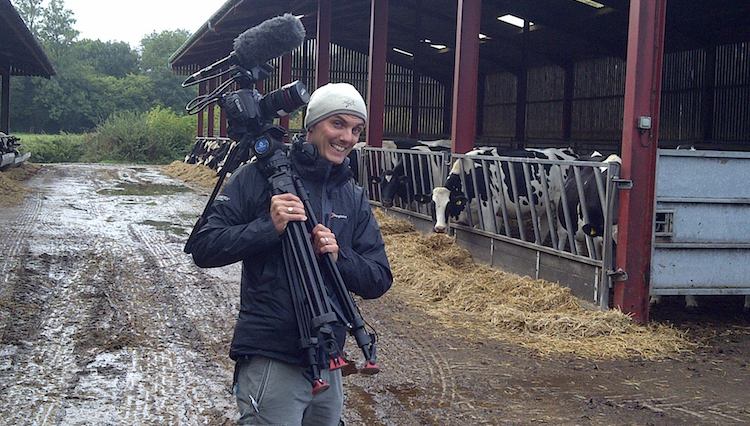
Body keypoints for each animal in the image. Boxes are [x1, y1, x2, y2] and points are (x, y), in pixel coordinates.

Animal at [432, 147, 580, 243]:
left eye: (448, 205)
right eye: (434, 205)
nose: (439, 228)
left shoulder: (489, 207)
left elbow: (490, 232)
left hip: (561, 202)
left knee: (562, 233)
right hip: (546, 206)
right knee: (543, 229)